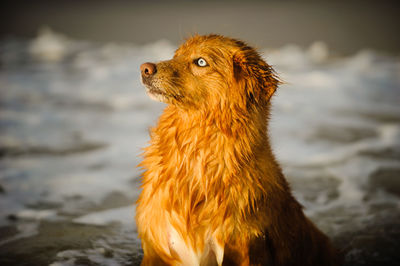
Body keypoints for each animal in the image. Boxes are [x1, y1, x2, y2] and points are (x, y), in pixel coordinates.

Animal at [137, 35, 340, 266]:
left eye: (200, 62)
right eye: (176, 55)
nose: (145, 68)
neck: (197, 155)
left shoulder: (242, 244)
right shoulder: (155, 244)